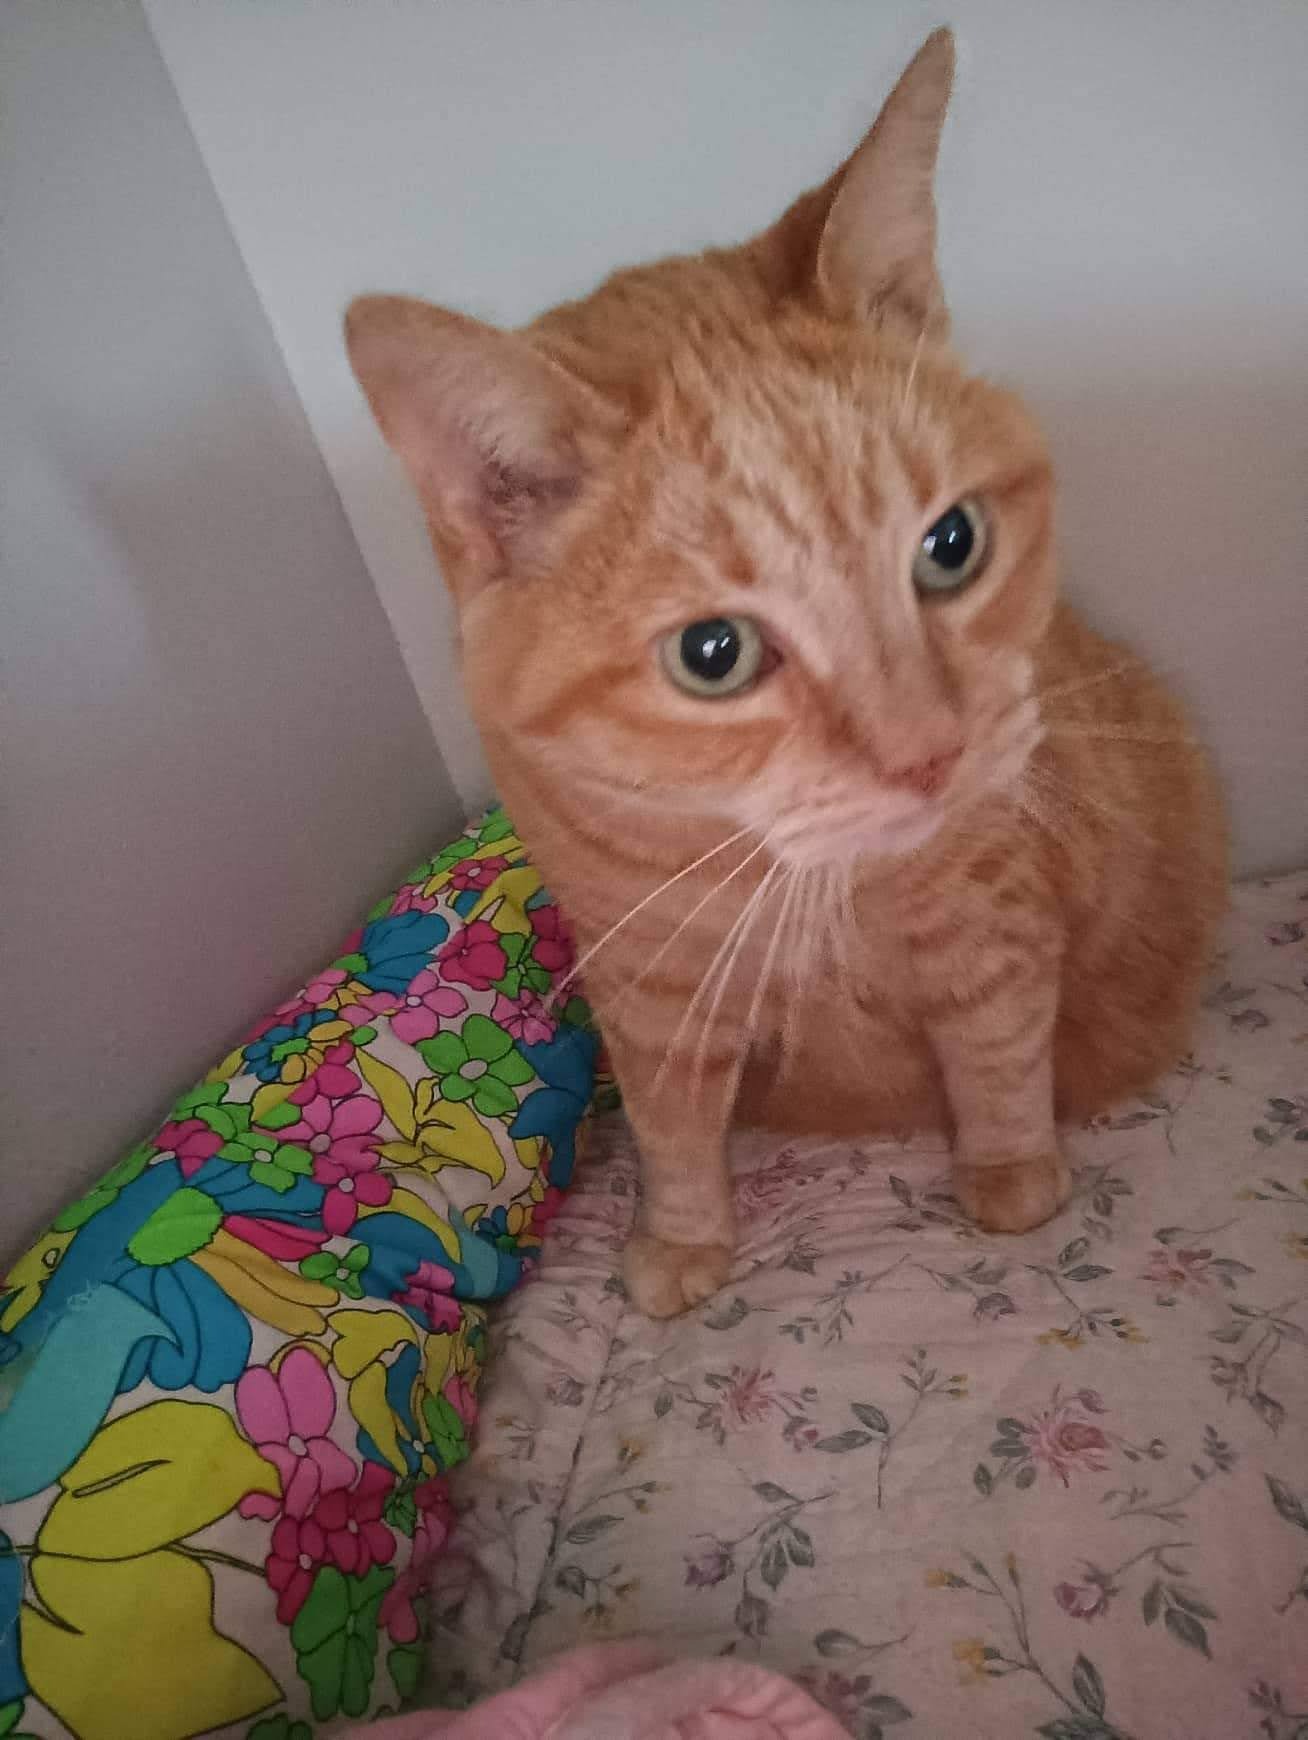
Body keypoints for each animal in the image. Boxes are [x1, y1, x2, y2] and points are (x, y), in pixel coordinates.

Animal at [346, 29, 1227, 1318]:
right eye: (714, 655)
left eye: (950, 544)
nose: (932, 755)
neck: (792, 878)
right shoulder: (644, 980)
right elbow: (670, 1122)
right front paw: (683, 1239)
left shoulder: (992, 914)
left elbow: (997, 1043)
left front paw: (1010, 1173)